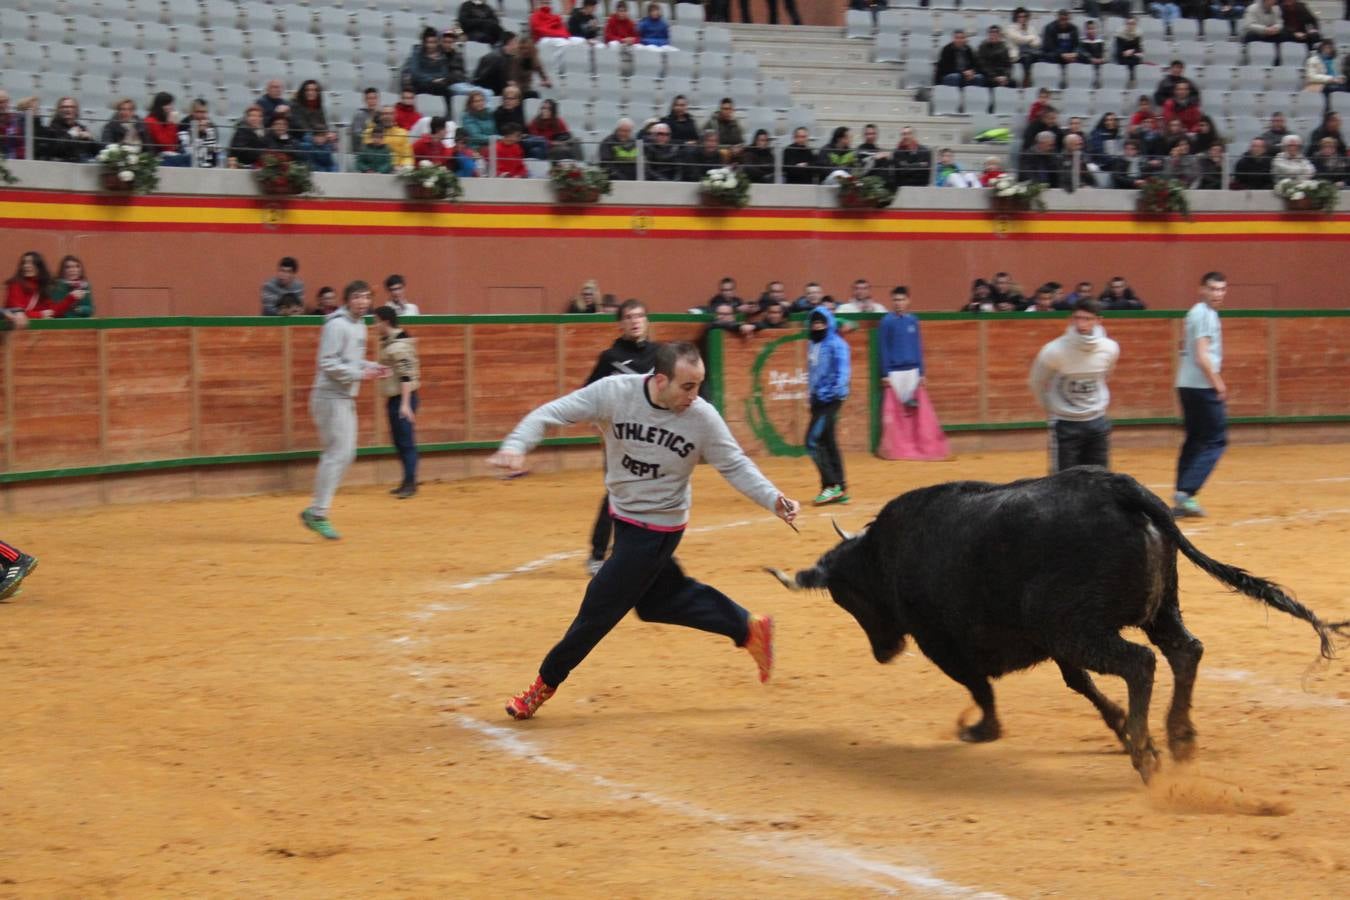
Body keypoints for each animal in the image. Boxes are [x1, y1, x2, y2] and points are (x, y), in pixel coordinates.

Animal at [766, 469, 1344, 782]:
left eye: (845, 596)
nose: (882, 652)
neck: (884, 554)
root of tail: (1123, 490)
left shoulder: (944, 643)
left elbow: (981, 688)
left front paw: (980, 729)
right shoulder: (1048, 638)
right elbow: (1078, 683)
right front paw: (1116, 725)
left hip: (1080, 627)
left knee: (1141, 663)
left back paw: (1147, 753)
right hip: (1152, 611)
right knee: (1185, 651)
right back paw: (1178, 737)